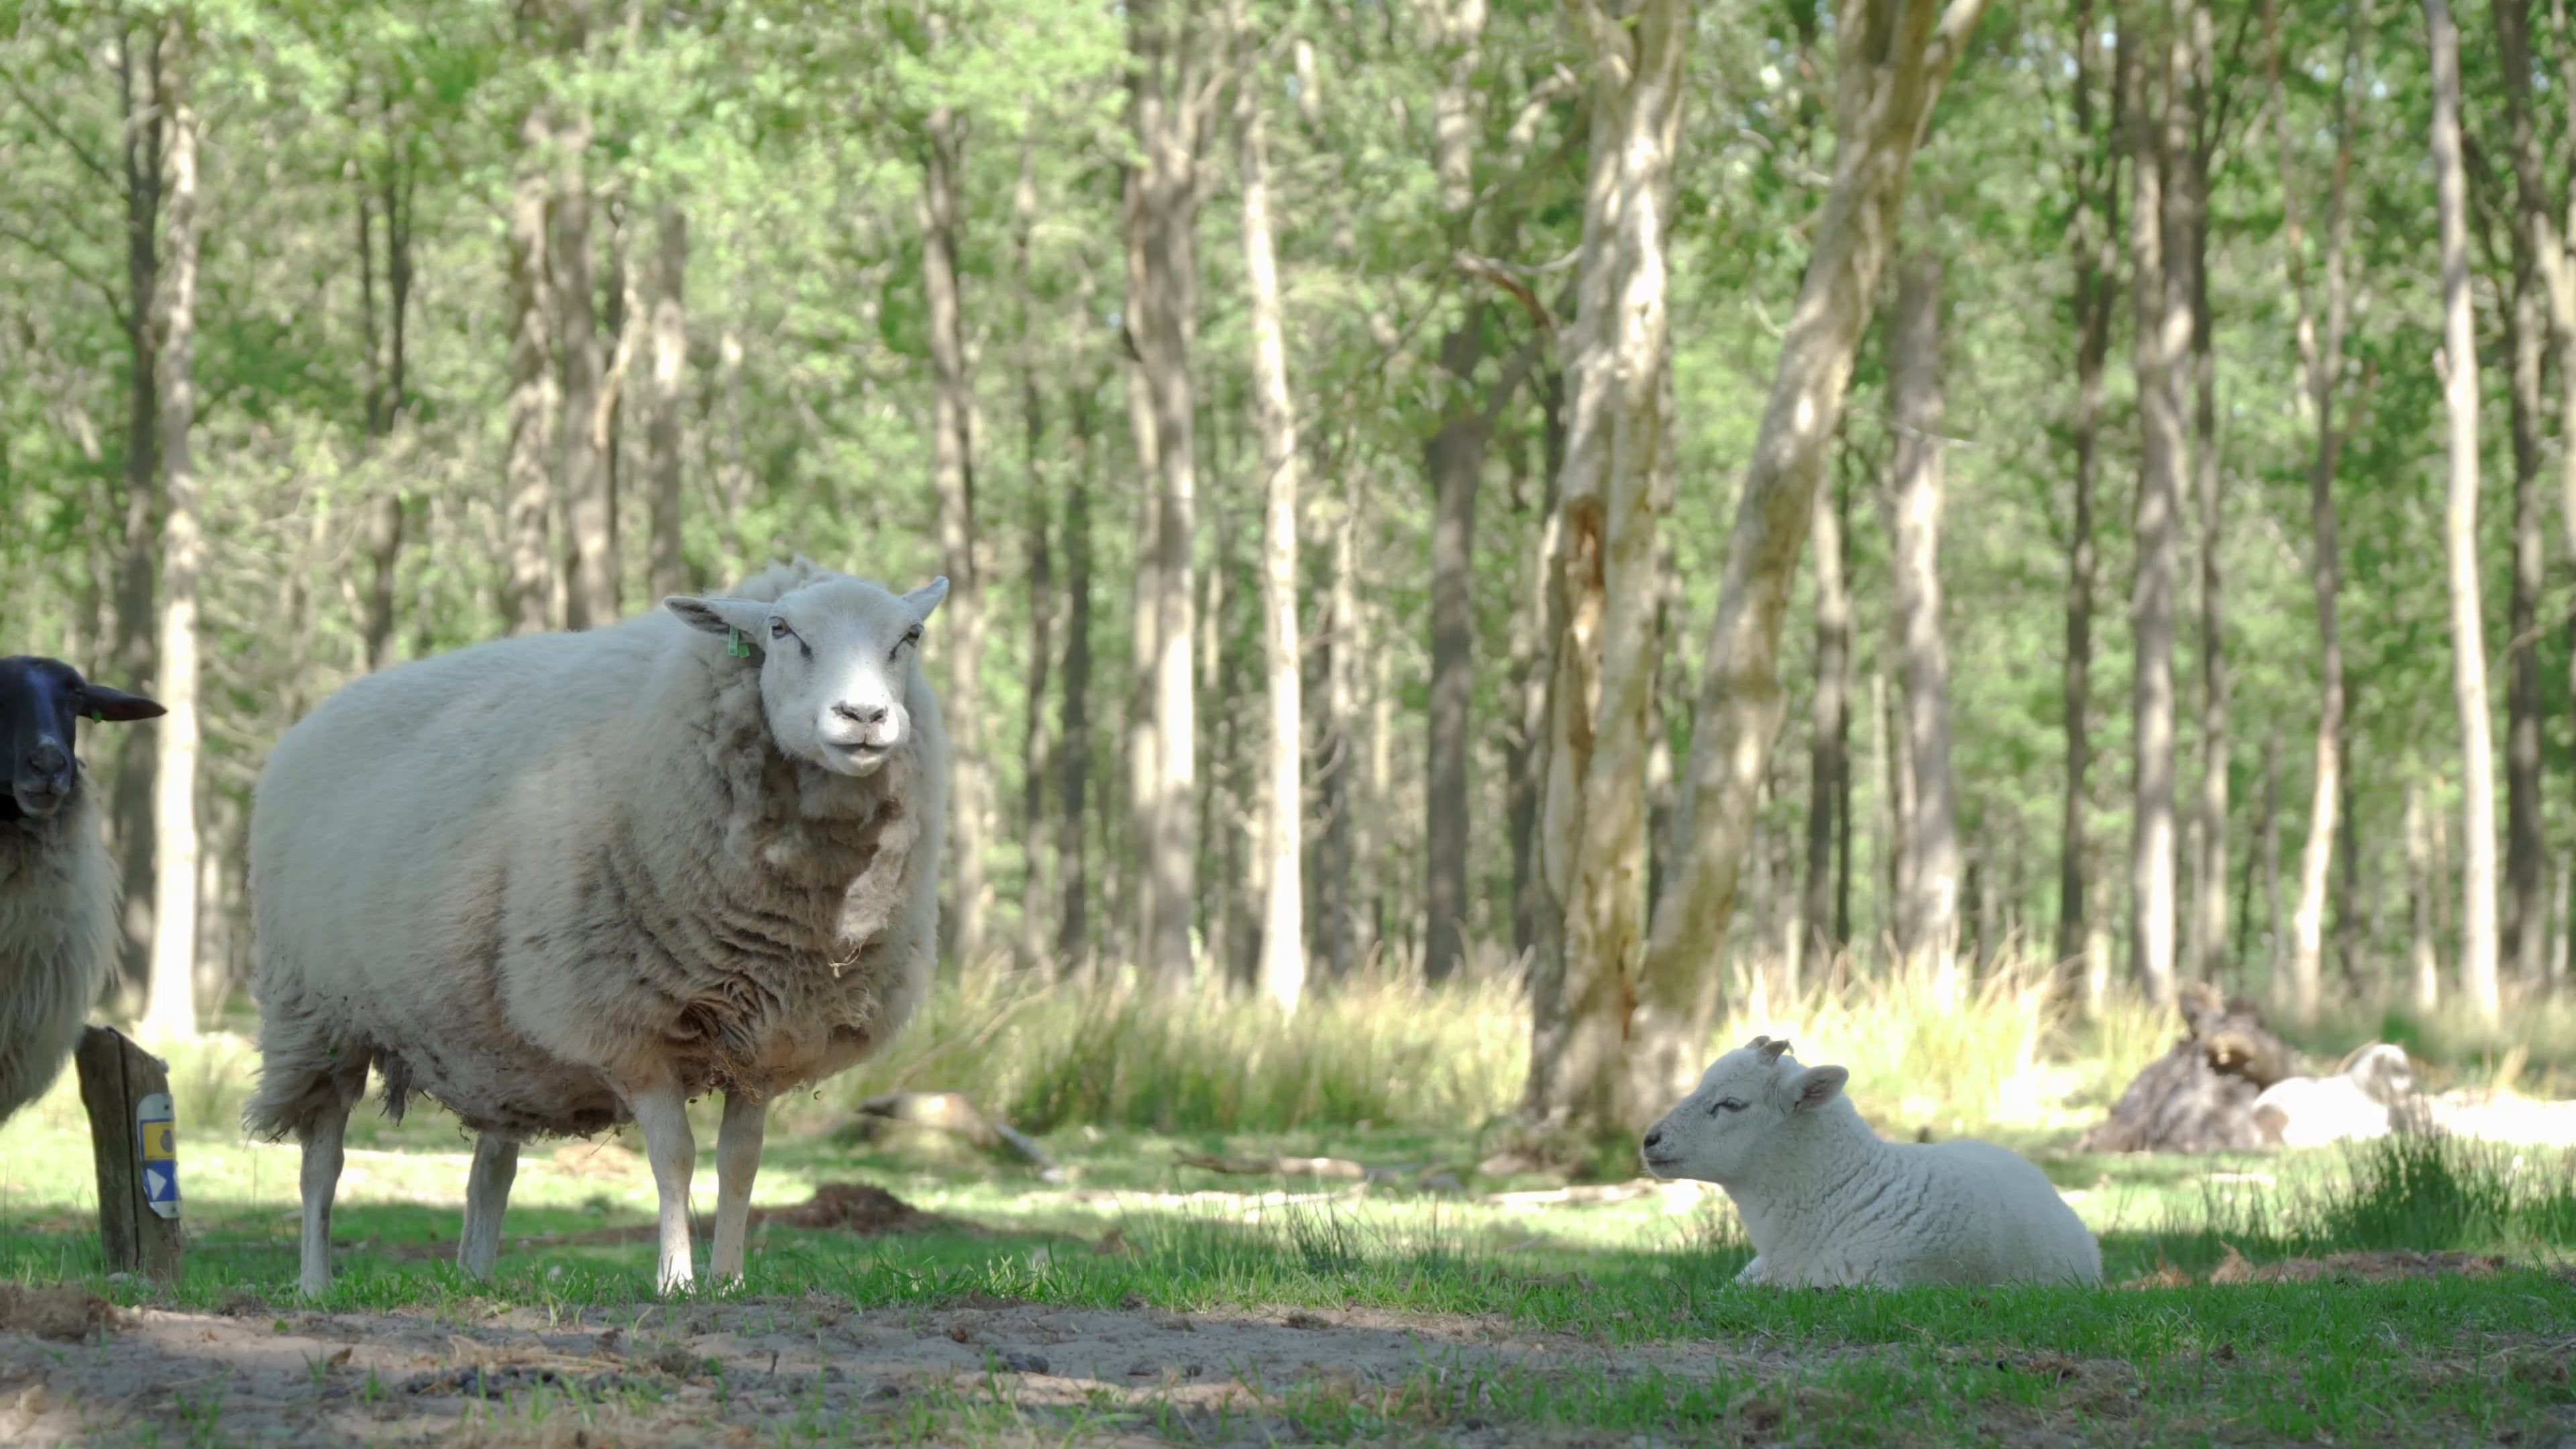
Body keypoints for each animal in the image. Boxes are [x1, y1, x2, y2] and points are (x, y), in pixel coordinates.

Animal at [243, 559, 949, 1296]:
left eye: (910, 636)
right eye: (782, 630)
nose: (864, 717)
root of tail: (315, 717)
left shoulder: (766, 1040)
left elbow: (741, 1162)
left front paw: (729, 1279)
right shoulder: (627, 1023)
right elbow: (675, 1157)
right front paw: (676, 1280)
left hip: (494, 1039)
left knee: (491, 1171)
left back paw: (476, 1279)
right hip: (316, 1015)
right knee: (321, 1164)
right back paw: (315, 1283)